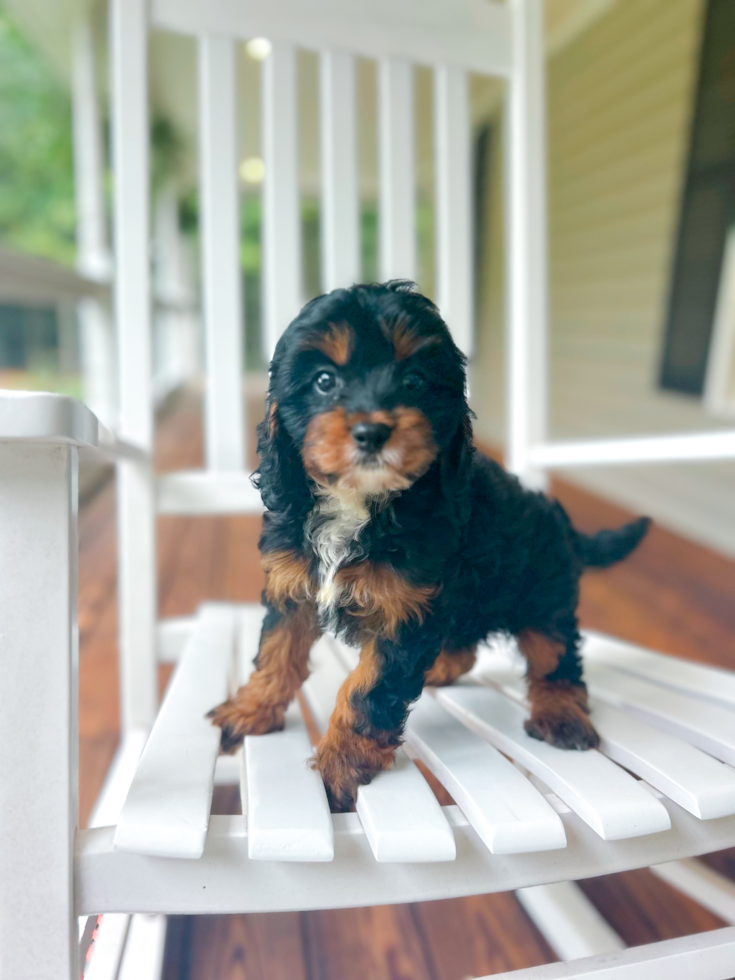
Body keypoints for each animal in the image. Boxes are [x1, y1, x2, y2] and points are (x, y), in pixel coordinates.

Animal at [207, 278, 648, 812]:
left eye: (415, 381)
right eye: (324, 381)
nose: (372, 431)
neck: (360, 503)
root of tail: (557, 517)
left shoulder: (403, 613)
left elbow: (365, 692)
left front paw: (338, 767)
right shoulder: (295, 586)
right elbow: (276, 652)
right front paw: (251, 709)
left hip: (543, 595)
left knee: (554, 656)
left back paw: (560, 712)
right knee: (467, 643)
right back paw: (442, 667)